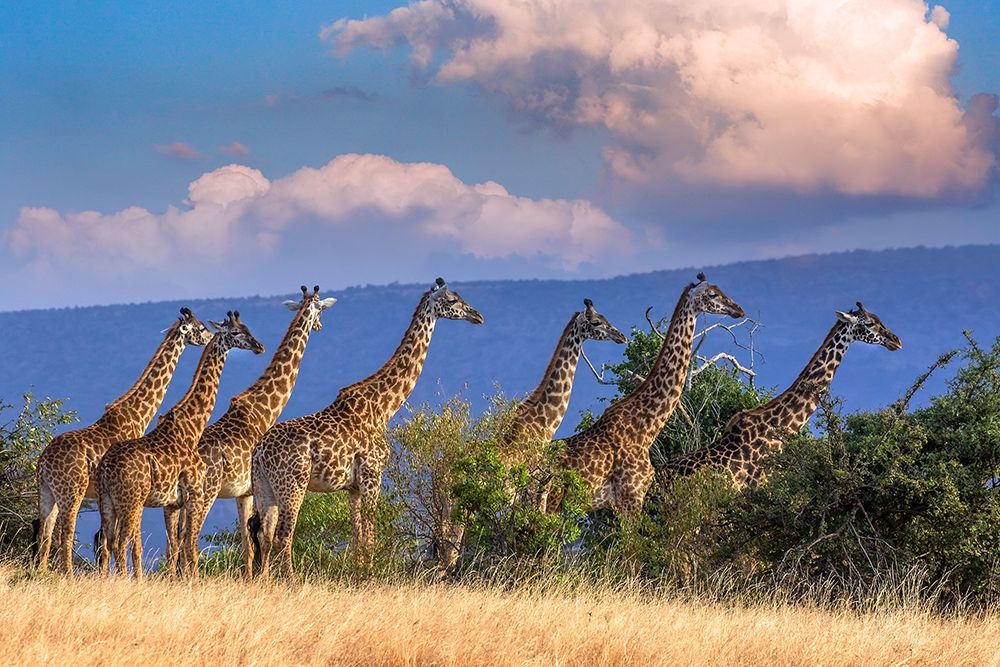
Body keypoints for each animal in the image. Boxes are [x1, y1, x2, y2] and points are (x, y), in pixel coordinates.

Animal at [34, 307, 212, 577]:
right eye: (200, 327)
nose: (211, 337)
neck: (138, 415)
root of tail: (43, 462)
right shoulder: (132, 494)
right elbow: (129, 541)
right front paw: (132, 577)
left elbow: (109, 540)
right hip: (71, 491)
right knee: (64, 535)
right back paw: (68, 578)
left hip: (47, 491)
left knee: (45, 533)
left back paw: (44, 574)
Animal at [96, 311, 265, 580]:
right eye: (236, 332)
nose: (259, 346)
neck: (192, 426)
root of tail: (105, 468)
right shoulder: (194, 494)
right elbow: (190, 546)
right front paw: (193, 583)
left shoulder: (174, 502)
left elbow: (177, 546)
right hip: (131, 501)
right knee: (120, 543)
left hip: (107, 502)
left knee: (107, 542)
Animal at [174, 286, 336, 575]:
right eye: (321, 309)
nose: (260, 346)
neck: (264, 409)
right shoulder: (254, 489)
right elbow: (260, 539)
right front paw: (261, 579)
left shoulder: (242, 492)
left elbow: (248, 544)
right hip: (206, 493)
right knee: (190, 538)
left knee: (179, 537)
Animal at [250, 277, 484, 578]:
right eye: (453, 300)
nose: (478, 316)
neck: (383, 406)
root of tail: (259, 452)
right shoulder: (373, 476)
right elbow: (370, 535)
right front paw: (371, 577)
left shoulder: (353, 487)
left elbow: (357, 537)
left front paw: (358, 574)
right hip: (293, 484)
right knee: (283, 535)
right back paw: (291, 582)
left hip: (263, 487)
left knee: (264, 535)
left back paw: (264, 582)